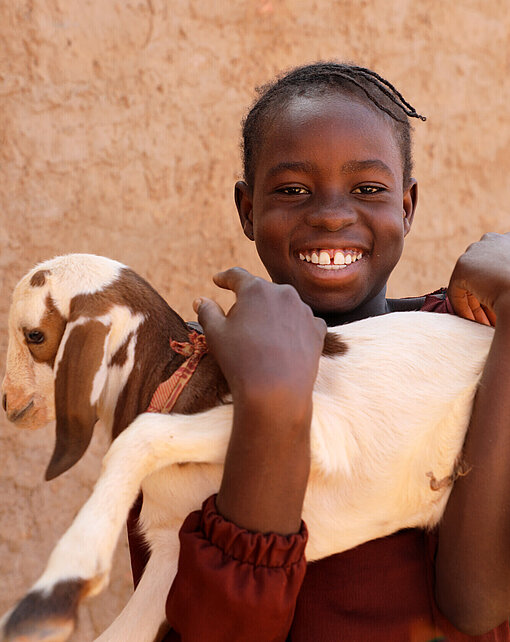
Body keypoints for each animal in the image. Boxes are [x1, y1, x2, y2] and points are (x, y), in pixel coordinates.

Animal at [0, 252, 494, 636]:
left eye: (35, 335)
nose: (8, 402)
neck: (178, 381)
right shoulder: (171, 550)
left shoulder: (319, 427)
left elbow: (141, 433)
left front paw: (58, 584)